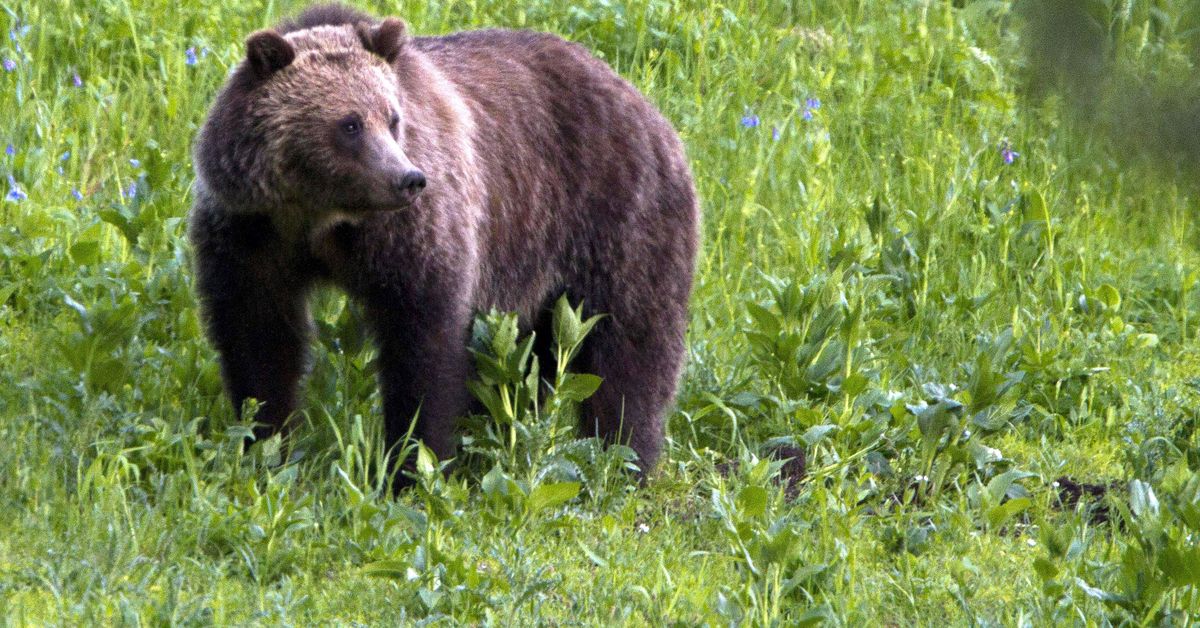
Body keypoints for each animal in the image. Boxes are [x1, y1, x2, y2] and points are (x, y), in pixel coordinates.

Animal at [190, 3, 700, 482]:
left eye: (392, 118)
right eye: (350, 124)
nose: (408, 178)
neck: (320, 217)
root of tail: (644, 102)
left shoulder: (412, 236)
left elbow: (424, 343)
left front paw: (412, 464)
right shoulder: (251, 234)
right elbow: (258, 336)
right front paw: (265, 442)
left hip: (615, 218)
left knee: (629, 347)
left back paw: (624, 458)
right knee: (530, 359)